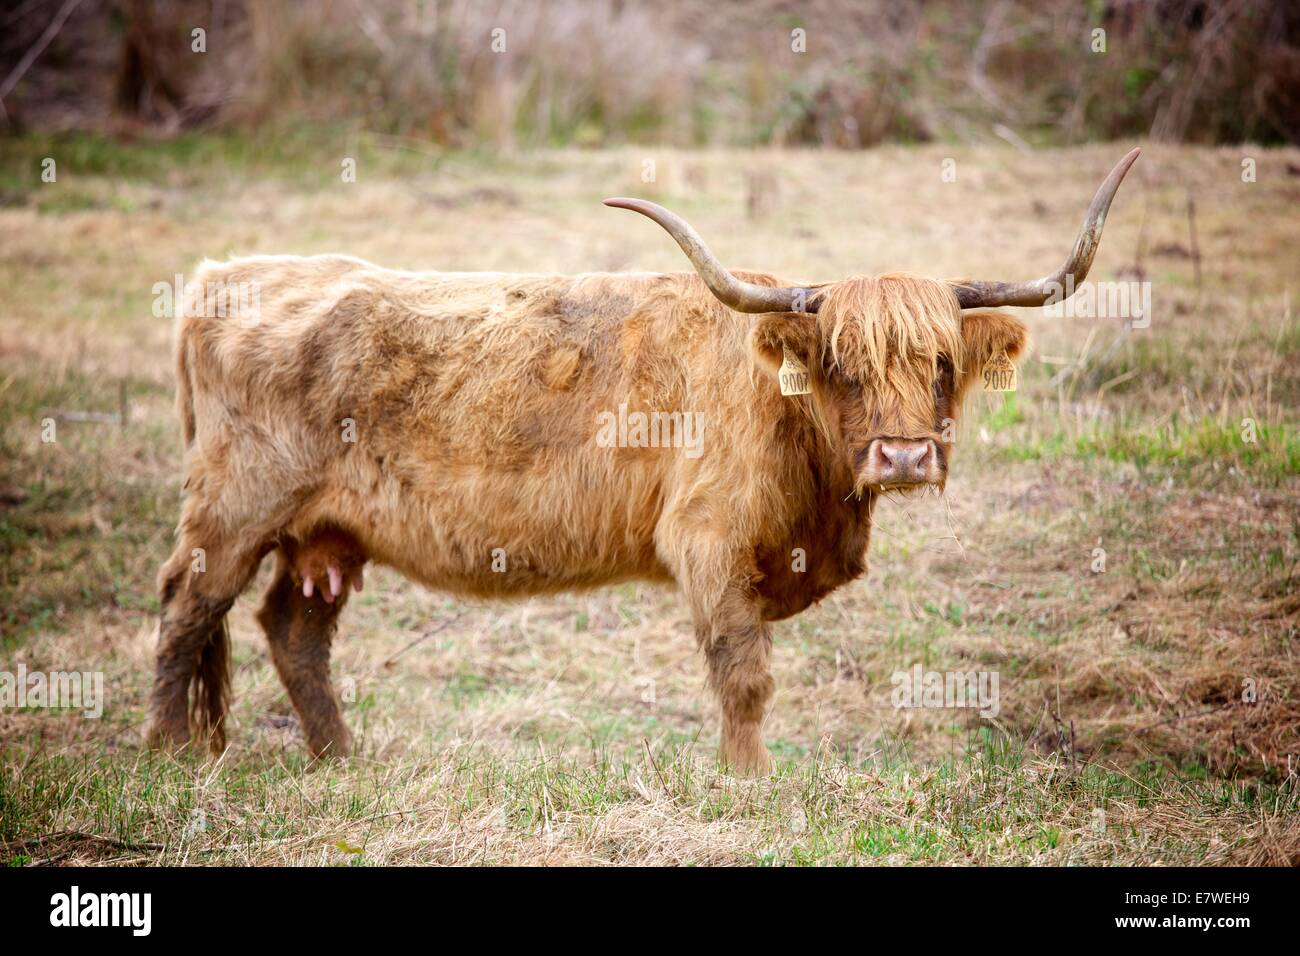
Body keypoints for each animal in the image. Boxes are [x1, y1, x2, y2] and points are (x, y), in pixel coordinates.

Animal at [146, 149, 1139, 774]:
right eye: (844, 365)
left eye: (939, 364)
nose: (902, 455)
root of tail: (223, 277)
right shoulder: (708, 541)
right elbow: (745, 674)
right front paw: (749, 782)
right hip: (233, 510)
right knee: (187, 610)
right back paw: (167, 753)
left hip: (323, 530)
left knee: (293, 629)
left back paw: (340, 761)